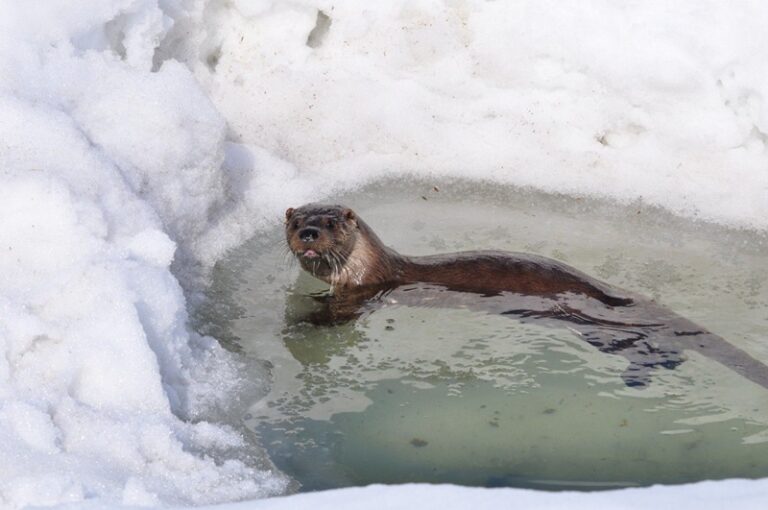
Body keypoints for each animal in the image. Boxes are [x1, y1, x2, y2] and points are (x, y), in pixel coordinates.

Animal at [284, 201, 768, 388]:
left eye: (330, 223)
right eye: (296, 221)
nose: (308, 232)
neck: (372, 266)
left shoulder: (366, 294)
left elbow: (333, 316)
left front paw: (303, 320)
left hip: (596, 327)